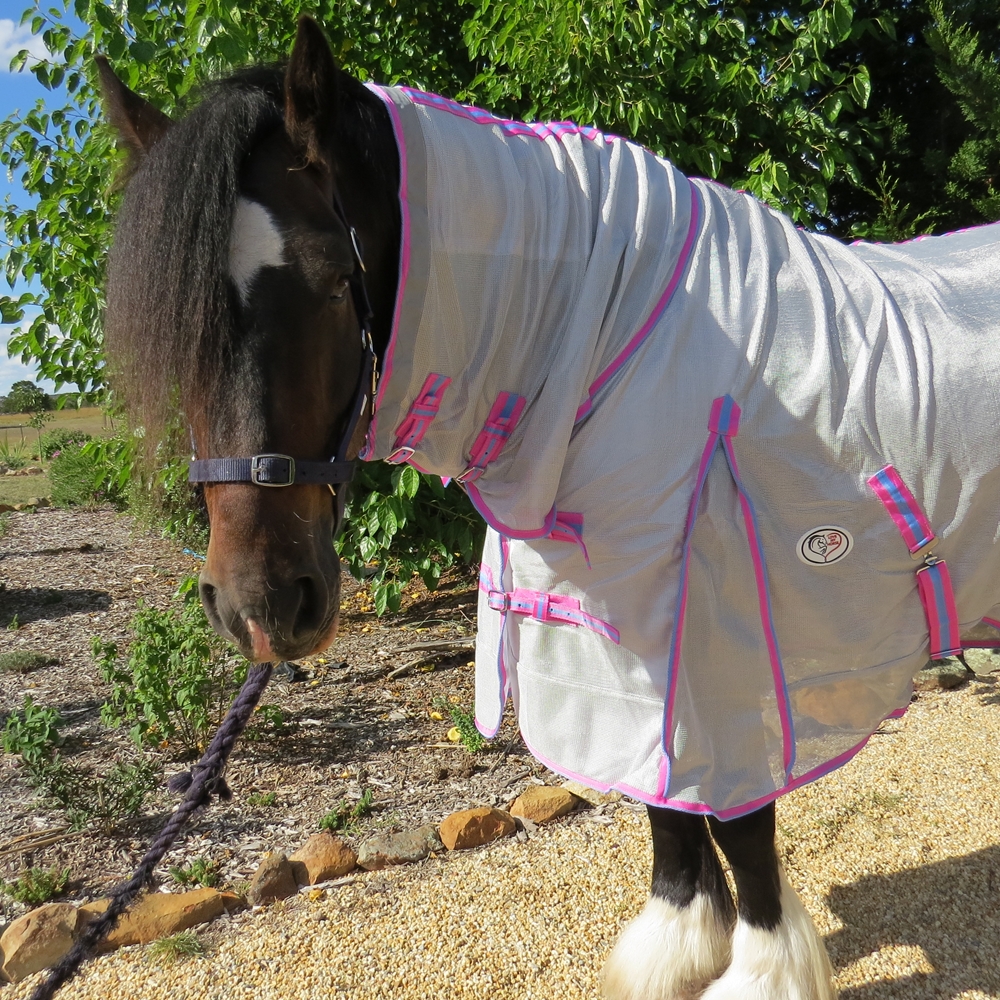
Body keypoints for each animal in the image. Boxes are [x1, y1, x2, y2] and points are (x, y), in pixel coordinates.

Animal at [62, 14, 1000, 1000]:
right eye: (182, 335)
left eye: (328, 282)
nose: (262, 605)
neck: (619, 337)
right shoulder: (626, 657)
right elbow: (665, 809)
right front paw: (672, 953)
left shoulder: (730, 663)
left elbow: (738, 826)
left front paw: (758, 971)